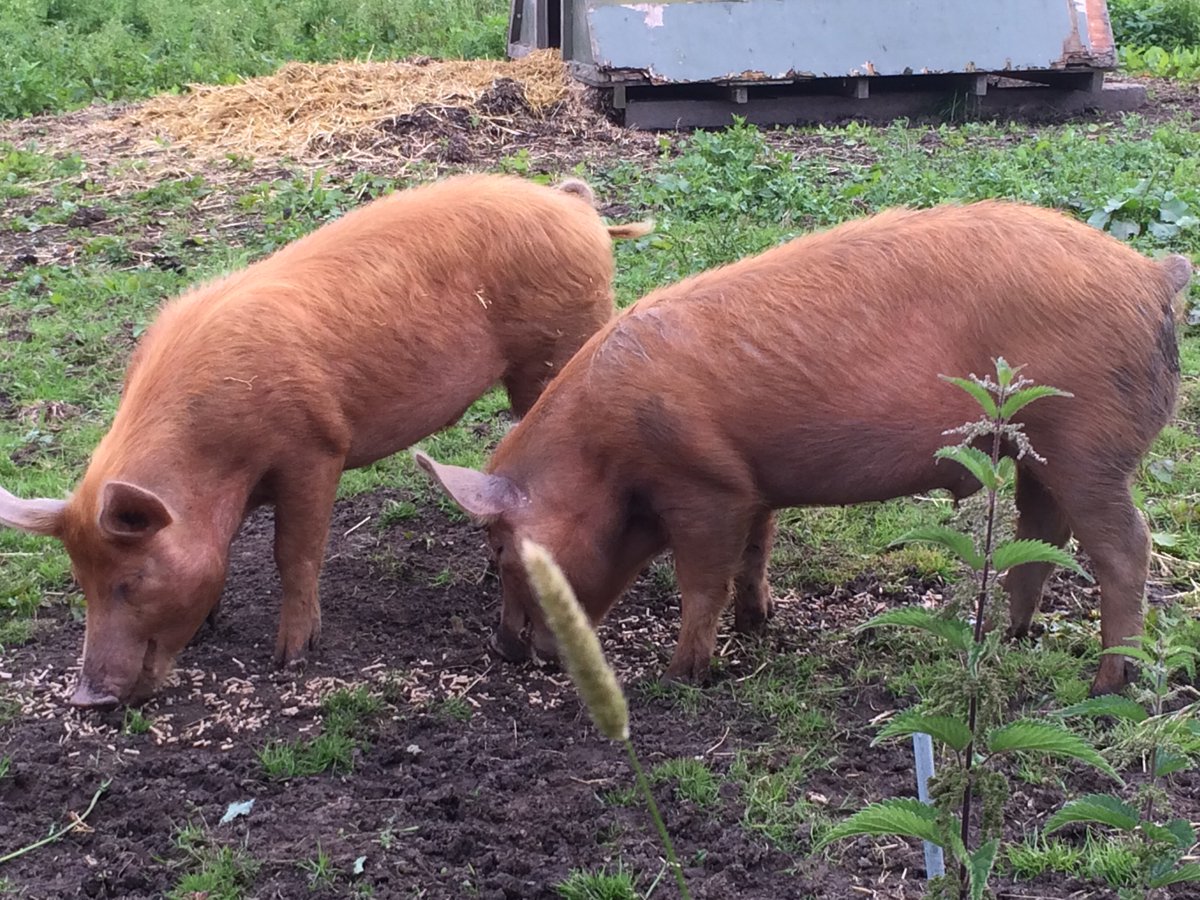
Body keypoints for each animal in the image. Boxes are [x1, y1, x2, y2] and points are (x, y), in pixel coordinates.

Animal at [0, 173, 652, 709]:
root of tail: (577, 208)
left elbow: (295, 551)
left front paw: (290, 657)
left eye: (130, 581)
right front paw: (213, 624)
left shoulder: (314, 449)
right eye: (81, 581)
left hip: (560, 347)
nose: (87, 699)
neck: (215, 460)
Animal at [415, 200, 1193, 697]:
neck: (605, 459)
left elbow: (702, 579)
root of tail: (1153, 276)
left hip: (1089, 444)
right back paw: (1012, 637)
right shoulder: (751, 484)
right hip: (1038, 452)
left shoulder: (704, 489)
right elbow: (757, 551)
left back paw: (1105, 684)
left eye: (500, 550)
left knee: (1126, 545)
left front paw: (682, 674)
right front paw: (759, 623)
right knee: (1041, 532)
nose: (504, 648)